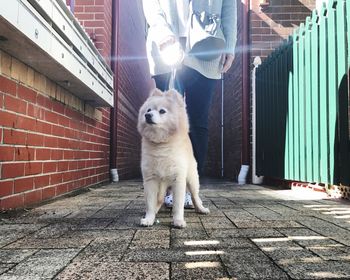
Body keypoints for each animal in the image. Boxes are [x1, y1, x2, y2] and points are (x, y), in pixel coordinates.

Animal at [137, 88, 208, 229]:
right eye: (148, 110)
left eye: (162, 111)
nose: (147, 115)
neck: (161, 144)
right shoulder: (150, 180)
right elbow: (150, 203)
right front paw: (149, 218)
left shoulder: (179, 180)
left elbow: (178, 205)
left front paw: (178, 220)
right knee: (159, 199)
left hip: (192, 179)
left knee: (195, 195)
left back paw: (201, 208)